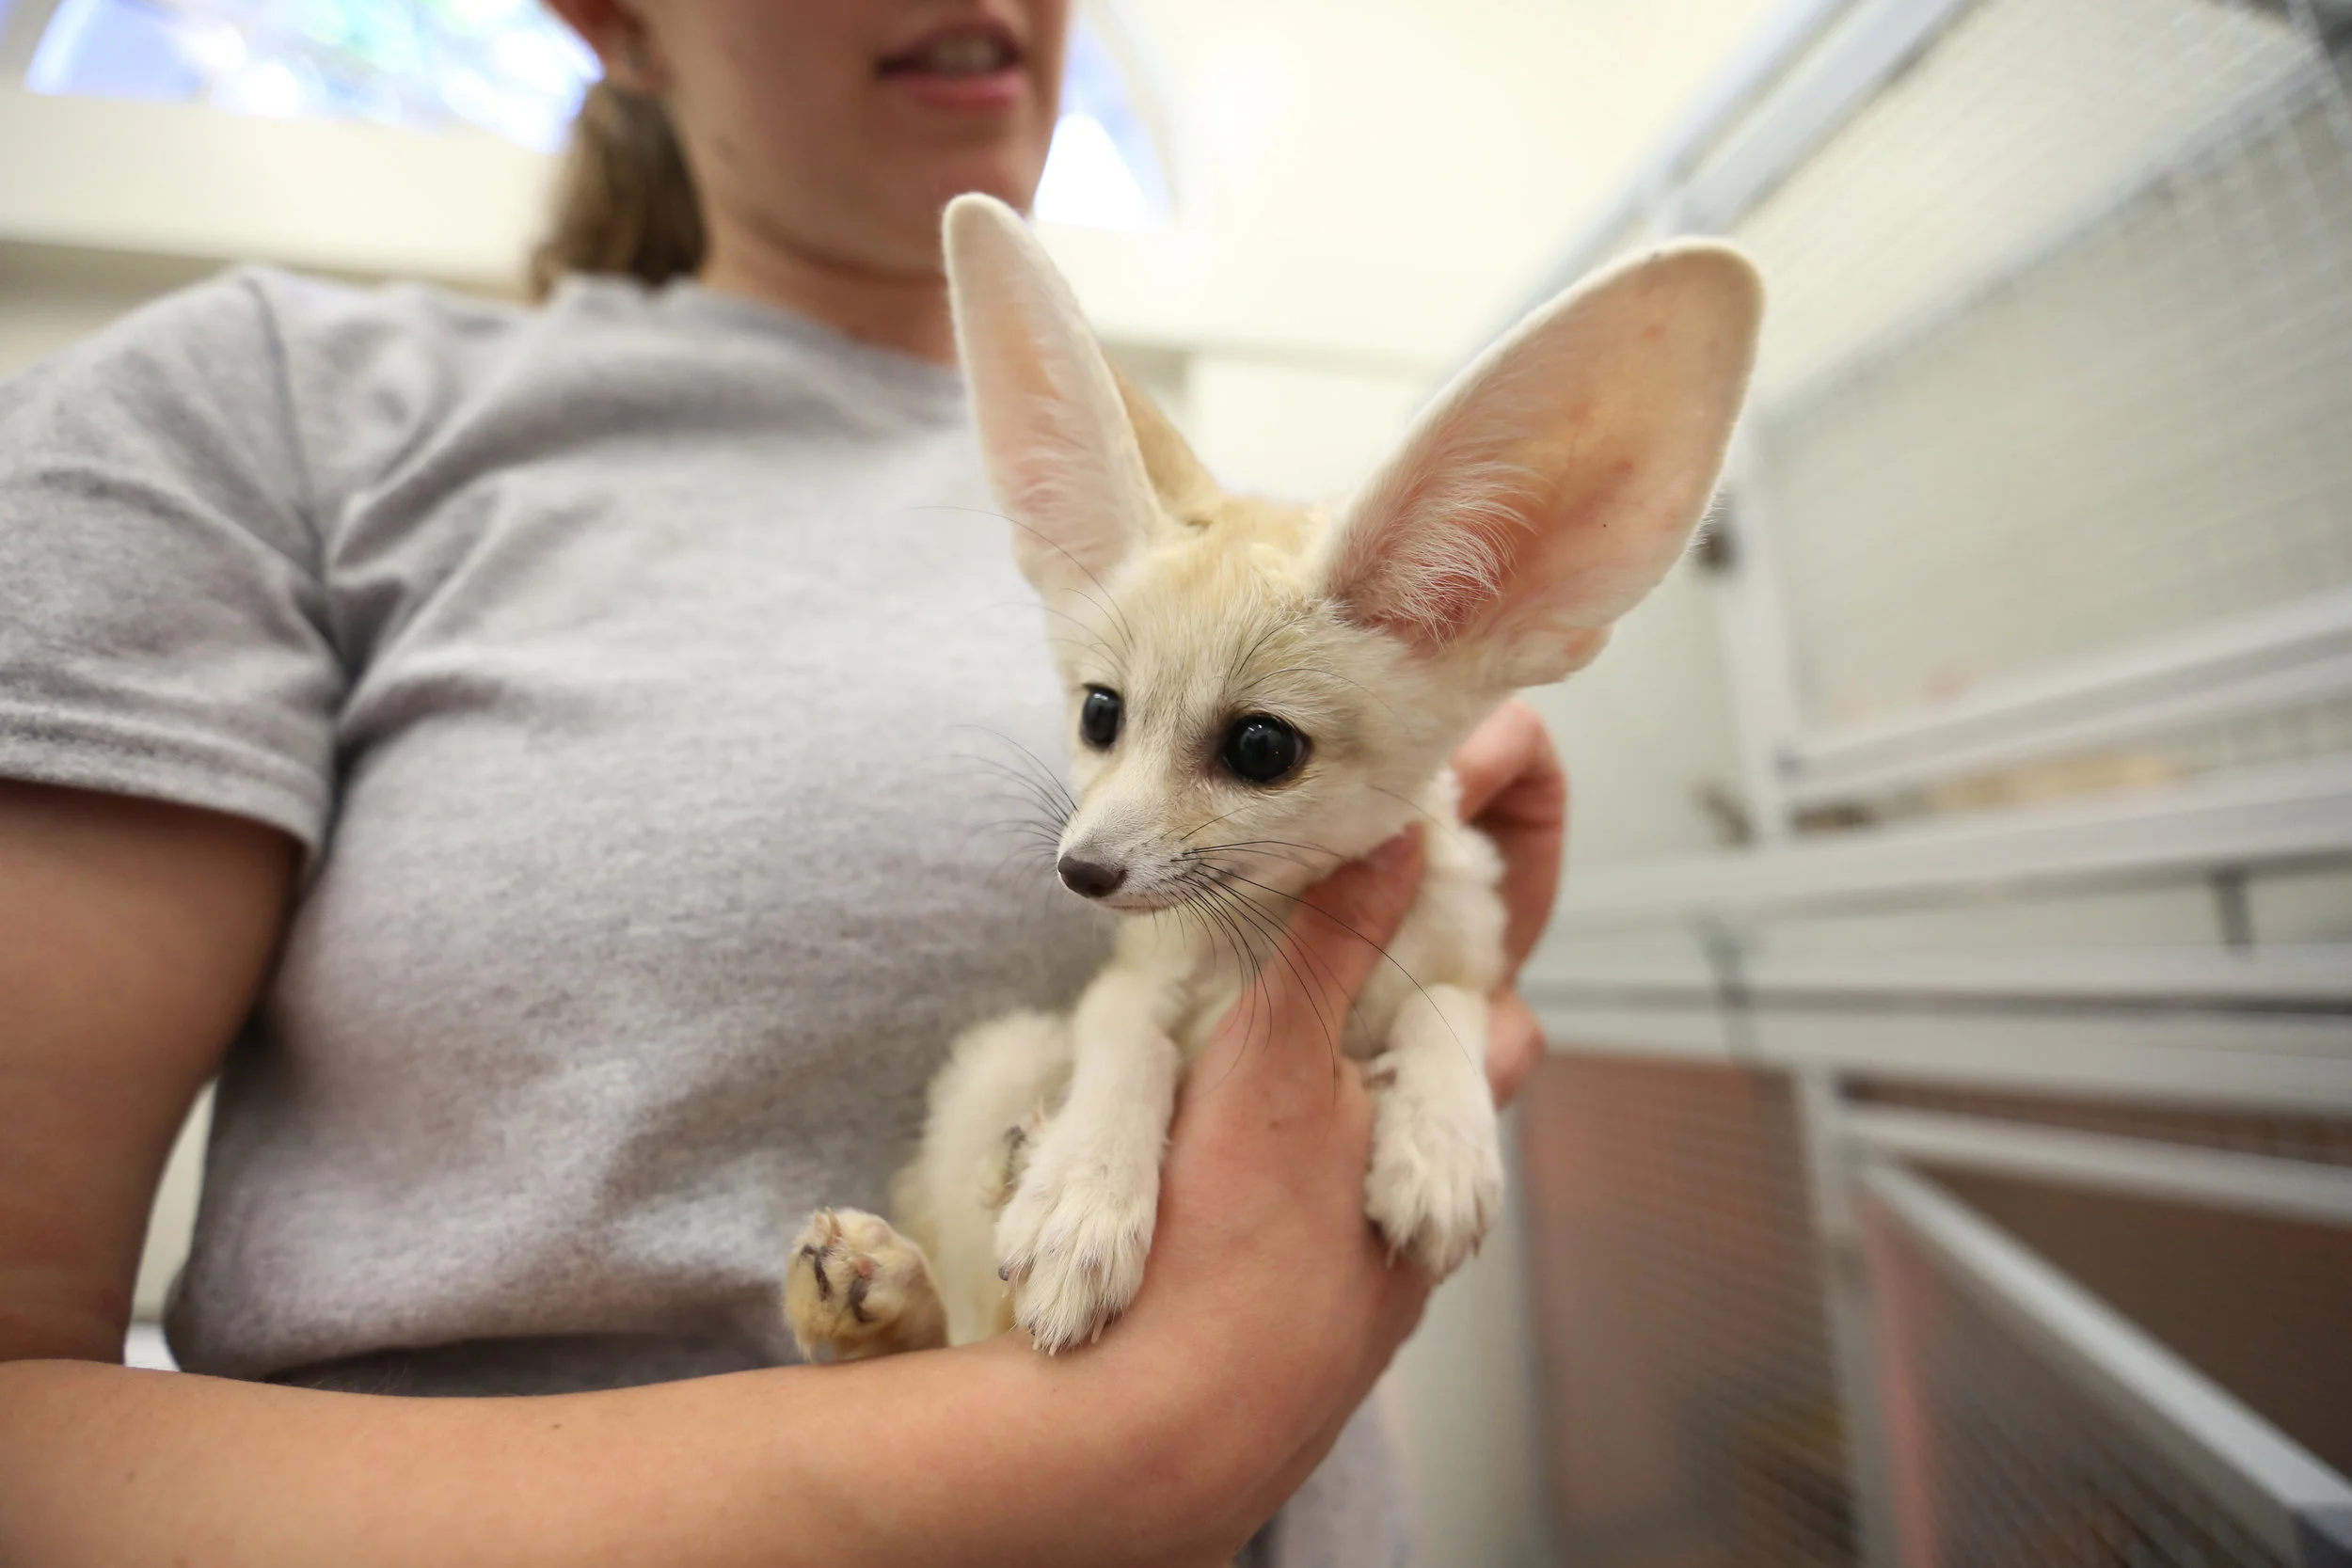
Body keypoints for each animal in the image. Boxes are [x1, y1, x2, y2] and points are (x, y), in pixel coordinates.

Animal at [783, 193, 1762, 1361]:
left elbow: (1447, 1005)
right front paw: (1083, 1191)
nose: (1081, 870)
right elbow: (1128, 1043)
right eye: (1100, 712)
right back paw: (888, 1273)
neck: (1262, 935)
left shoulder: (1465, 945)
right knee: (965, 1320)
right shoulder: (1127, 981)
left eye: (1260, 748)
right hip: (1000, 1052)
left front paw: (1443, 1140)